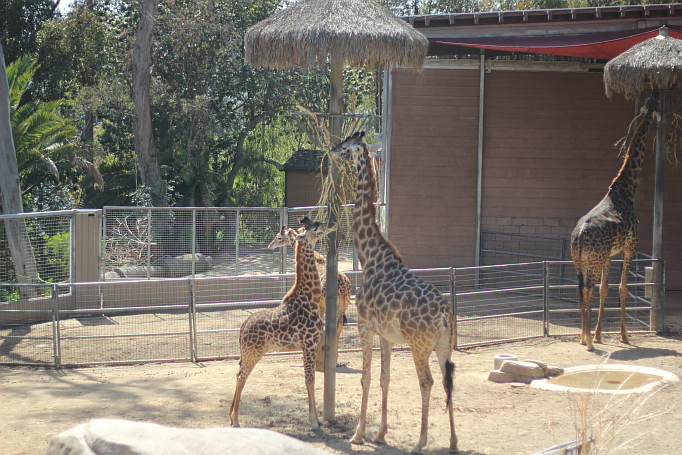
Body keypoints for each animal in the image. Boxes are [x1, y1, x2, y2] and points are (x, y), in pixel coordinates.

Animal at [228, 217, 334, 432]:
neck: (309, 299)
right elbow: (309, 380)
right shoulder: (309, 344)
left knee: (238, 373)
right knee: (242, 376)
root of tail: (242, 328)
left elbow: (311, 379)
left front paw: (317, 420)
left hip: (250, 351)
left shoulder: (310, 345)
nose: (333, 223)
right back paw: (235, 420)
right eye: (317, 227)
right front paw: (314, 422)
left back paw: (230, 417)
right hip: (254, 351)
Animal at [266, 218, 350, 374]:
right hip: (344, 304)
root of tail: (344, 285)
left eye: (279, 237)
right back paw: (335, 360)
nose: (270, 245)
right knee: (339, 324)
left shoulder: (318, 304)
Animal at [330, 132, 456, 455]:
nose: (332, 151)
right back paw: (453, 441)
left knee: (427, 382)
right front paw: (381, 433)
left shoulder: (364, 326)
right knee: (448, 380)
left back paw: (421, 442)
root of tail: (445, 316)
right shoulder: (386, 334)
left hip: (419, 346)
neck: (370, 257)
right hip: (443, 347)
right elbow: (385, 378)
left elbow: (366, 378)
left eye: (346, 146)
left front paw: (359, 434)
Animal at [568, 95, 660, 352]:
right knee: (587, 288)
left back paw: (584, 336)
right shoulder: (631, 248)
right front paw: (624, 336)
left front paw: (600, 334)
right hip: (593, 260)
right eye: (657, 106)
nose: (660, 123)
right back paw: (588, 341)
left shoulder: (609, 255)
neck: (626, 190)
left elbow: (605, 289)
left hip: (581, 260)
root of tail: (579, 235)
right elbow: (622, 288)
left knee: (583, 289)